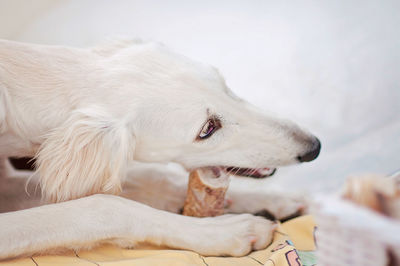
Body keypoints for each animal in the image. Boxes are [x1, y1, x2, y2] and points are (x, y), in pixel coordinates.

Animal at [0, 39, 320, 260]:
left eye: (225, 86)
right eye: (207, 129)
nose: (313, 148)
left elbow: (155, 178)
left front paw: (273, 199)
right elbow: (105, 205)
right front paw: (224, 231)